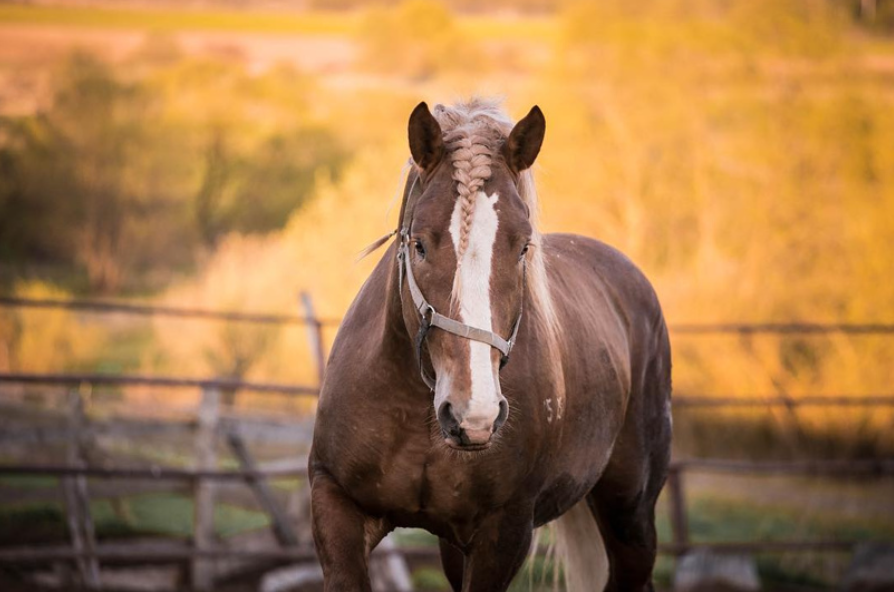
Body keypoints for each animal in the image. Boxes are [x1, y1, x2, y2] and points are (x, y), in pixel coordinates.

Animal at [308, 99, 672, 588]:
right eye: (419, 245)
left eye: (522, 247)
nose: (473, 413)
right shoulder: (335, 504)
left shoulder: (506, 531)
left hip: (630, 514)